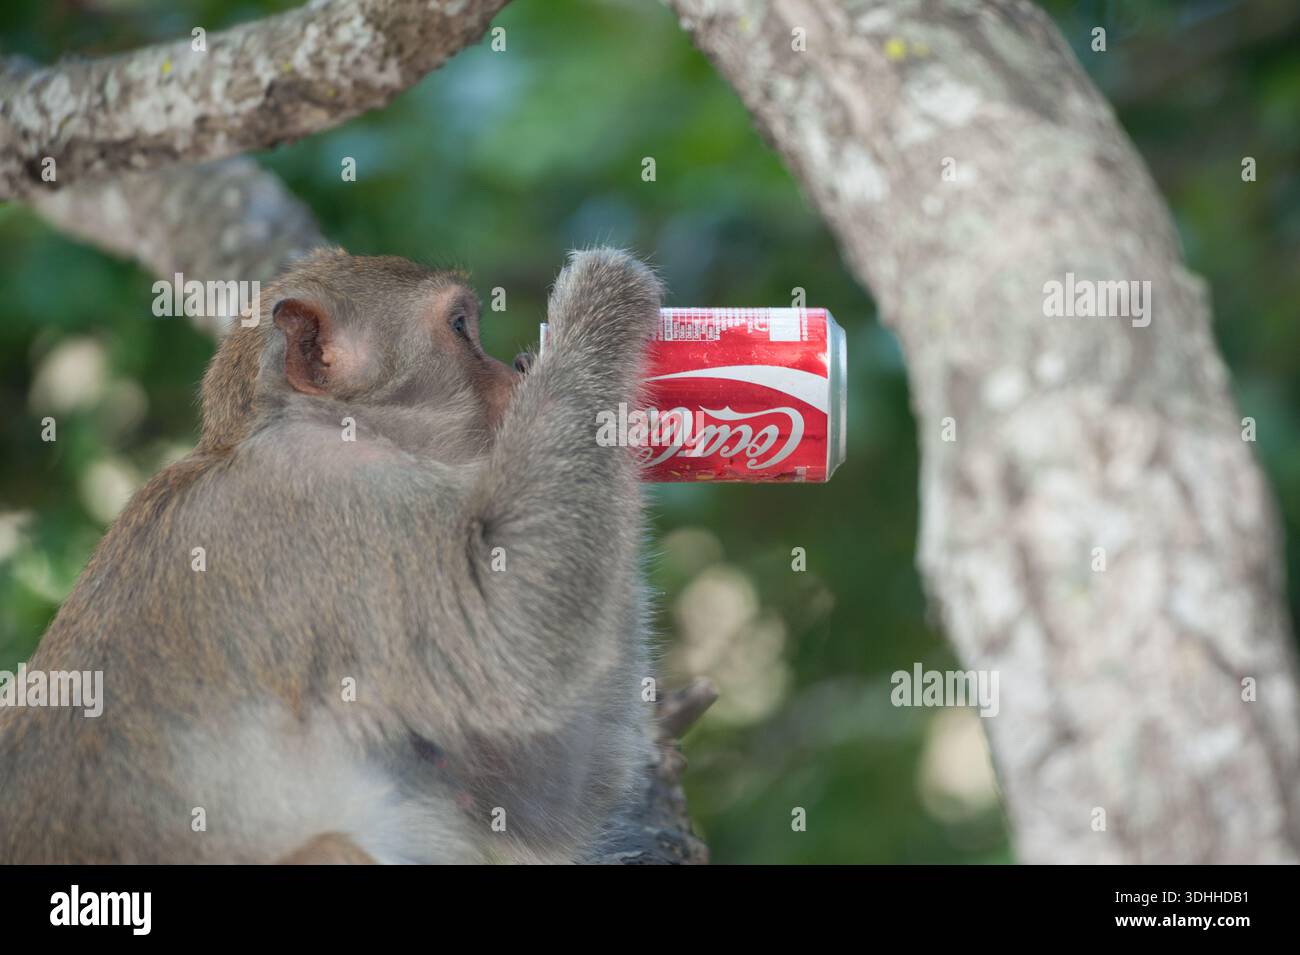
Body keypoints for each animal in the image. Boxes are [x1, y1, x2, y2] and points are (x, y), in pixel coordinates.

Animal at [0, 247, 663, 864]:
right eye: (459, 327)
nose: (515, 371)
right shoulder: (342, 501)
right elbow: (510, 640)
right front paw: (607, 293)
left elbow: (542, 795)